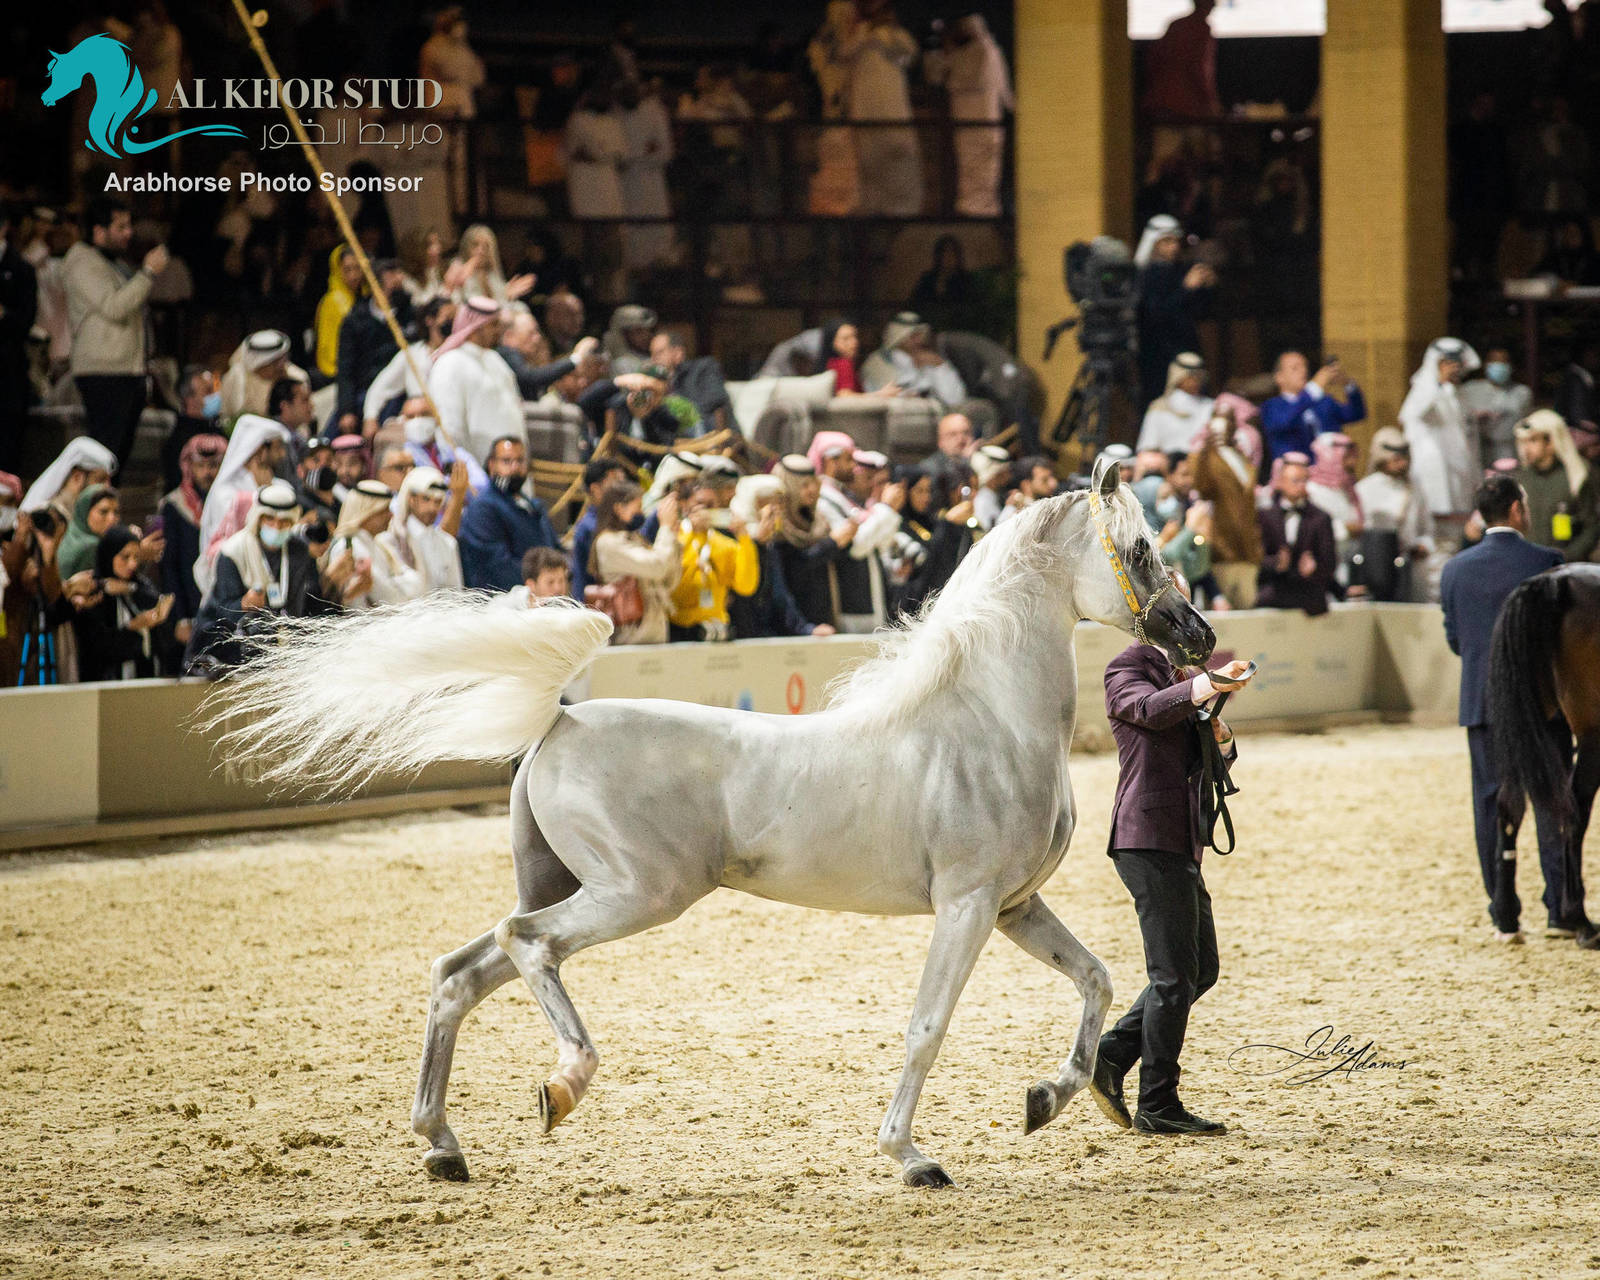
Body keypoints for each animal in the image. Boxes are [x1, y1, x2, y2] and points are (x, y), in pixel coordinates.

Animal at [206, 458, 1217, 1188]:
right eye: (1138, 549)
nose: (1197, 636)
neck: (984, 718)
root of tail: (557, 723)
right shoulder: (965, 906)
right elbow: (927, 1026)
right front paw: (912, 1158)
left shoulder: (1012, 907)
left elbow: (1095, 981)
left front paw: (1045, 1101)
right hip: (638, 893)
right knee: (528, 944)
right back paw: (561, 1086)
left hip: (581, 888)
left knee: (462, 970)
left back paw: (443, 1147)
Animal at [1487, 563, 1600, 949]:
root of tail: (1556, 580)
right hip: (1593, 733)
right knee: (1575, 809)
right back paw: (1580, 921)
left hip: (1523, 726)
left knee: (1509, 805)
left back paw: (1507, 918)